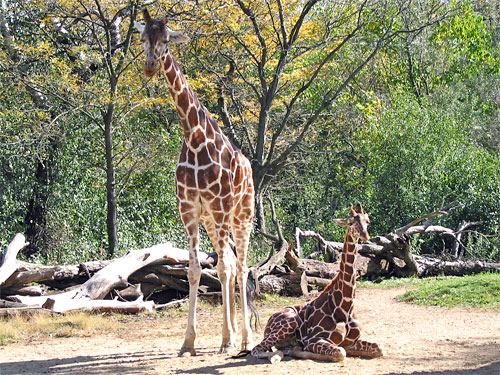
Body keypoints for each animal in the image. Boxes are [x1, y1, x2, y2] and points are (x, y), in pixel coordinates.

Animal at [134, 8, 254, 356]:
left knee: (241, 266)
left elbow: (224, 269)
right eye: (143, 38)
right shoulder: (189, 209)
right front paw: (189, 341)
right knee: (230, 263)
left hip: (241, 216)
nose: (149, 66)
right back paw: (231, 335)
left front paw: (227, 339)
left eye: (166, 41)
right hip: (214, 222)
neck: (195, 136)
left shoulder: (220, 207)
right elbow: (194, 270)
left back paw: (244, 338)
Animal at [250, 206, 382, 364]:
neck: (346, 306)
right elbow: (340, 352)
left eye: (367, 221)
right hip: (290, 322)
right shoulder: (314, 339)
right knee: (257, 349)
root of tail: (268, 322)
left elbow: (379, 348)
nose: (365, 235)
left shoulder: (353, 341)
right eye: (350, 223)